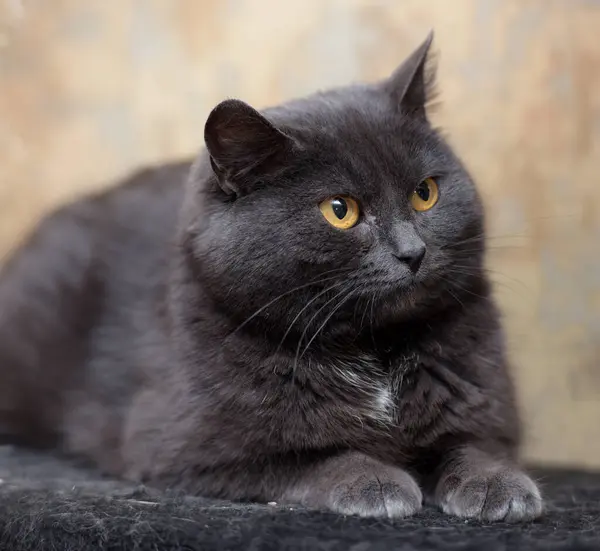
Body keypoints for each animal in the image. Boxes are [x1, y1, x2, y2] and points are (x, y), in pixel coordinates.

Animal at [0, 32, 544, 524]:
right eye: (340, 210)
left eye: (425, 193)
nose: (413, 252)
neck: (372, 349)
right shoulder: (189, 449)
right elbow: (308, 457)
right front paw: (374, 480)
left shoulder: (486, 403)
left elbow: (475, 443)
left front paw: (496, 485)